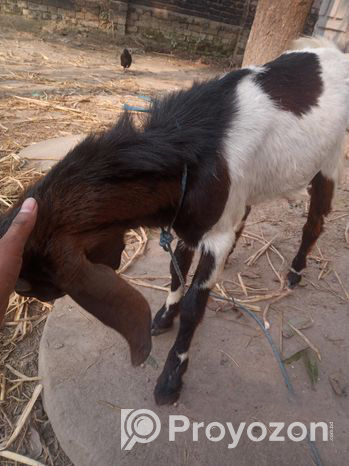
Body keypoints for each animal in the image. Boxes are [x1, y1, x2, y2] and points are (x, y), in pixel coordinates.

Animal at [0, 36, 348, 404]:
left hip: (329, 161)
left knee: (315, 222)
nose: (44, 299)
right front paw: (165, 317)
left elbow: (196, 304)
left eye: (36, 281)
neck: (190, 152)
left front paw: (171, 377)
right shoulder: (189, 225)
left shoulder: (214, 237)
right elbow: (175, 271)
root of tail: (332, 51)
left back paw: (295, 272)